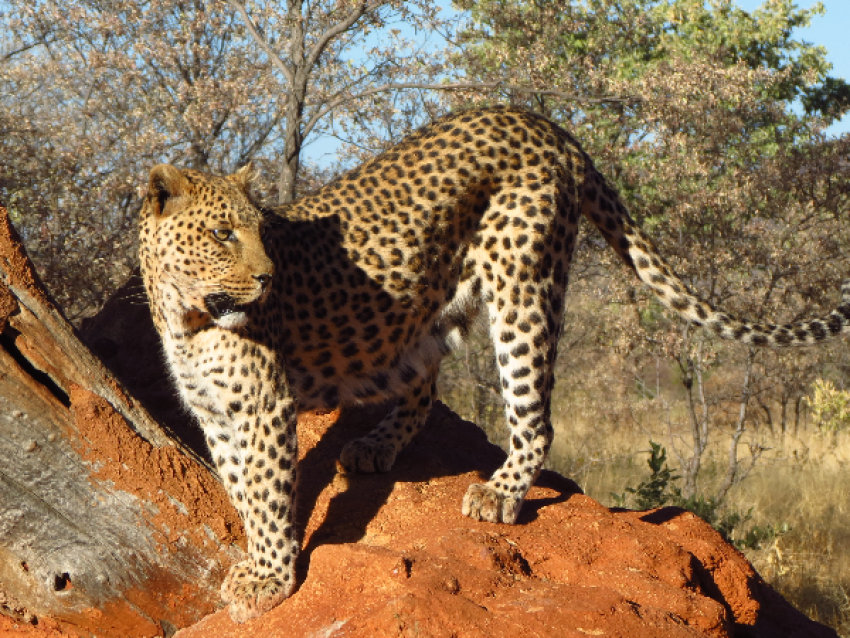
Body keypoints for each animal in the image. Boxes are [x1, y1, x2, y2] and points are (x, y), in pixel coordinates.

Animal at [139, 106, 848, 624]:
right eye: (222, 234)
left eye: (259, 231)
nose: (266, 277)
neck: (184, 313)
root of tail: (542, 121)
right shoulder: (216, 413)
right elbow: (240, 490)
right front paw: (259, 560)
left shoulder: (260, 409)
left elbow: (264, 494)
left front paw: (270, 577)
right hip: (434, 309)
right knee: (423, 387)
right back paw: (375, 445)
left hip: (523, 290)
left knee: (535, 417)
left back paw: (499, 493)